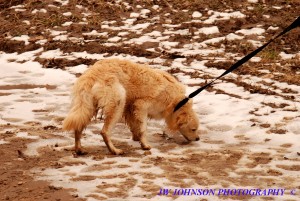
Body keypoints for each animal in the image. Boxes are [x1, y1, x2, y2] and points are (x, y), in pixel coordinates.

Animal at [62, 58, 199, 155]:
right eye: (193, 129)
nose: (198, 139)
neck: (176, 103)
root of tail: (93, 72)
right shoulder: (141, 105)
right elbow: (143, 128)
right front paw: (145, 145)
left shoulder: (130, 107)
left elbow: (135, 126)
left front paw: (136, 138)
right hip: (118, 103)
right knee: (104, 132)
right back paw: (114, 150)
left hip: (88, 106)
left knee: (78, 127)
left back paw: (79, 149)